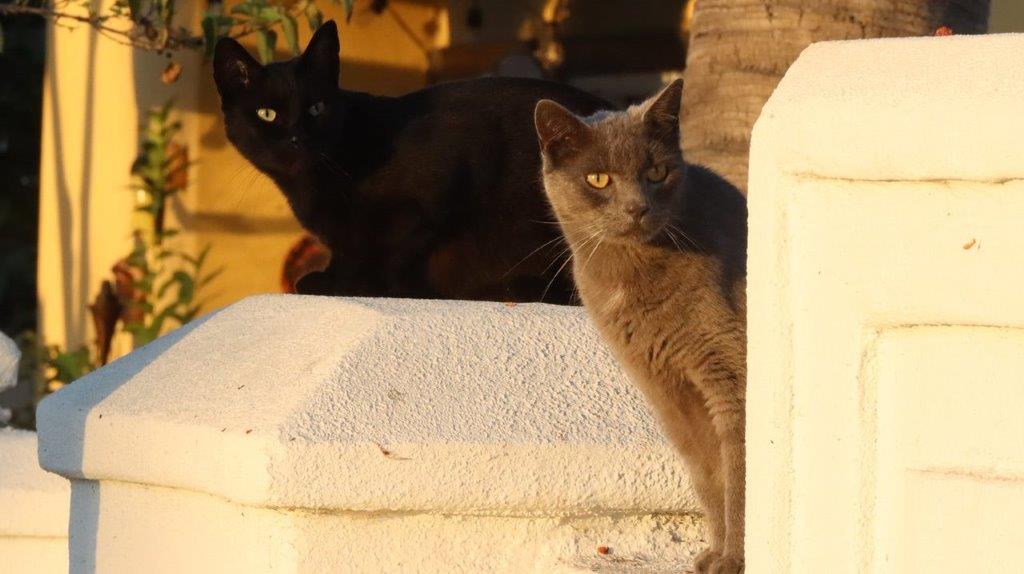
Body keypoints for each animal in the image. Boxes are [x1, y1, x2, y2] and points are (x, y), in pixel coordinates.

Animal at [212, 20, 610, 302]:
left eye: (316, 108)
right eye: (267, 114)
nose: (297, 138)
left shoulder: (443, 178)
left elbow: (396, 246)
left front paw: (362, 284)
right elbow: (353, 246)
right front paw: (338, 278)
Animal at [536, 78, 745, 568]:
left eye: (656, 173)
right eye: (598, 178)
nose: (637, 207)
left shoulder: (731, 372)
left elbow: (741, 473)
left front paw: (735, 559)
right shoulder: (667, 389)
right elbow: (710, 471)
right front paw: (715, 554)